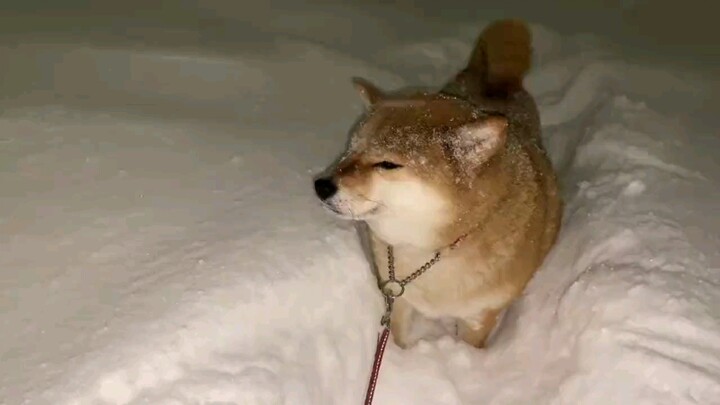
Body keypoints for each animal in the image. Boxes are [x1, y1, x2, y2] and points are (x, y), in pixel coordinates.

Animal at [316, 19, 564, 348]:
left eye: (387, 164)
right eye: (351, 148)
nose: (321, 186)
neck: (432, 249)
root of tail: (497, 81)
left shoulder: (478, 318)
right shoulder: (397, 299)